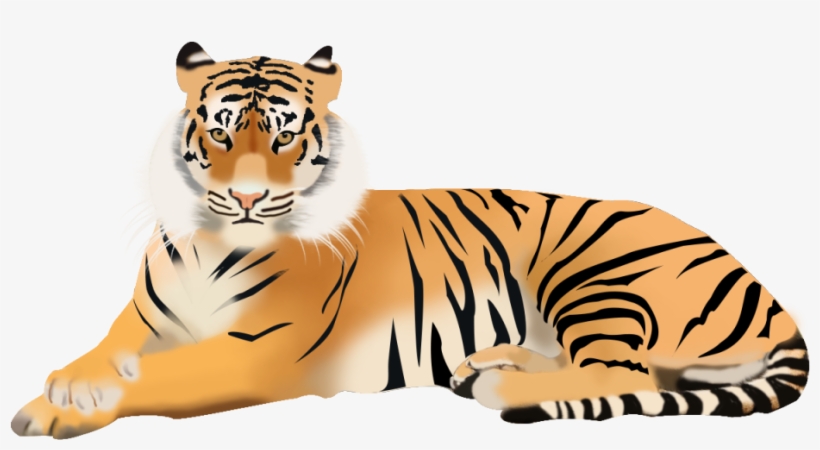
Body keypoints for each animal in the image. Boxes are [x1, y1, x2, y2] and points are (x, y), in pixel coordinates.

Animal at [10, 42, 809, 439]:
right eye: (221, 130)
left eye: (286, 134)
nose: (248, 197)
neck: (213, 244)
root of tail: (770, 296)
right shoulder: (142, 322)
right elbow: (106, 352)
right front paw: (68, 381)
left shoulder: (258, 353)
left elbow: (158, 377)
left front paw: (62, 404)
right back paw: (487, 359)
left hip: (597, 267)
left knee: (624, 373)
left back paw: (495, 382)